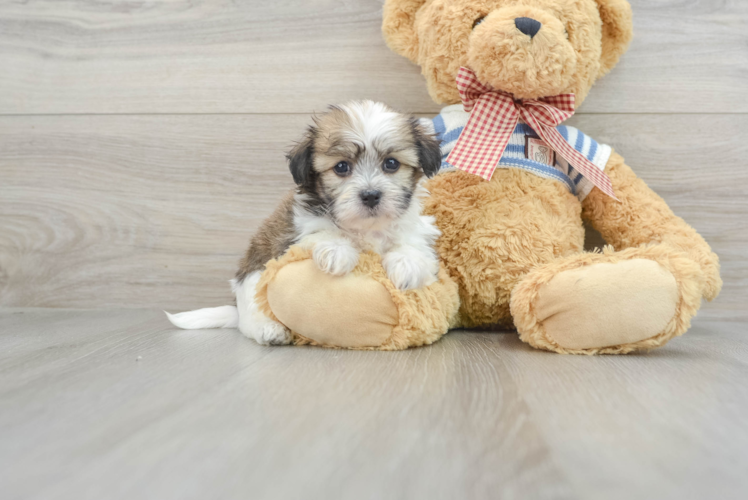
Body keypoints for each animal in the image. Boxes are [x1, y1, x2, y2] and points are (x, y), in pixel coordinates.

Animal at [167, 100, 442, 346]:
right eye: (341, 167)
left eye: (391, 163)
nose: (371, 195)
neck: (365, 227)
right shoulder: (296, 232)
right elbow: (322, 232)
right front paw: (337, 251)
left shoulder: (415, 227)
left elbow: (411, 243)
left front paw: (408, 264)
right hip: (254, 279)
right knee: (249, 319)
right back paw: (269, 329)